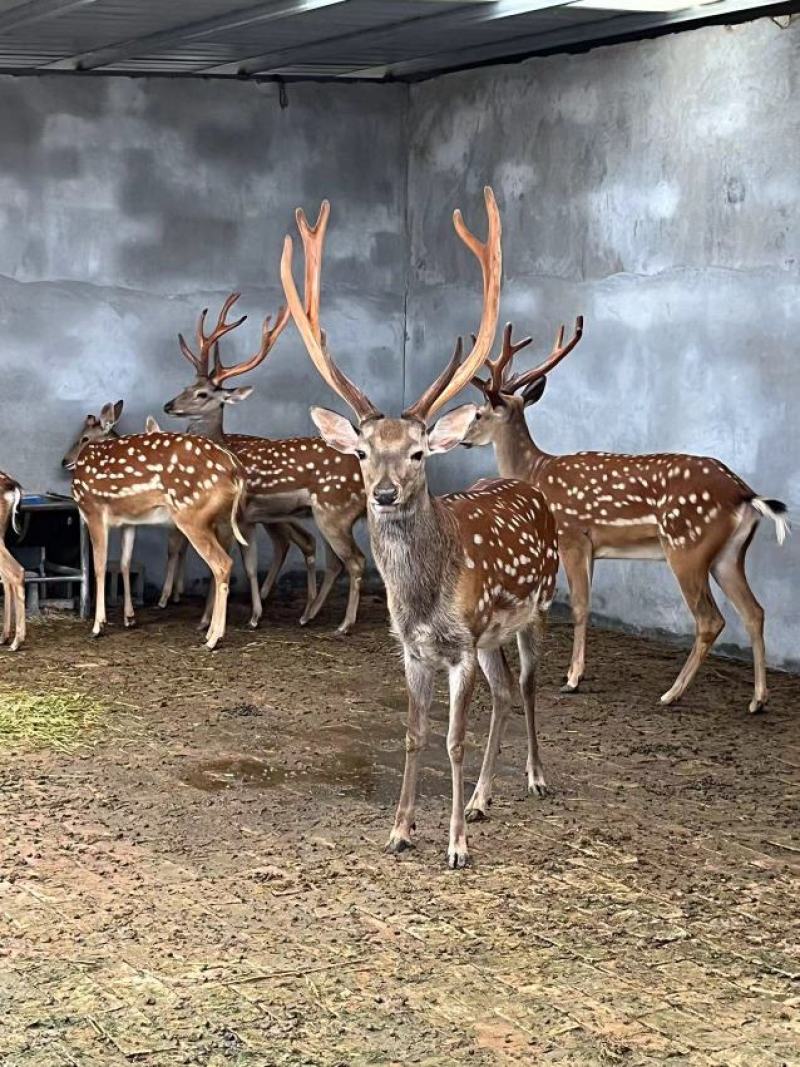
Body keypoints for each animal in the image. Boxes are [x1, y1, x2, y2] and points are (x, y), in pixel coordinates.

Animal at [62, 402, 247, 650]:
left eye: (83, 438)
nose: (64, 461)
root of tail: (235, 469)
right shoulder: (129, 521)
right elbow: (124, 563)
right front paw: (129, 618)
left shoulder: (93, 511)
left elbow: (98, 567)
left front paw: (98, 626)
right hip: (221, 521)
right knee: (221, 564)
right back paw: (210, 632)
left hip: (191, 515)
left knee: (222, 563)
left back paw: (213, 639)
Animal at [163, 290, 367, 635]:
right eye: (186, 386)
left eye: (203, 394)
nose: (168, 405)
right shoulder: (248, 518)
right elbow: (248, 564)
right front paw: (254, 615)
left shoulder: (235, 517)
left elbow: (230, 563)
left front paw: (208, 620)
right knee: (335, 561)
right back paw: (308, 614)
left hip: (333, 512)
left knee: (354, 560)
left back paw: (344, 624)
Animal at [281, 186, 560, 869]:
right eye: (361, 452)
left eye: (417, 452)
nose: (383, 494)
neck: (425, 596)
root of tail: (526, 486)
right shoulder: (412, 648)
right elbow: (414, 734)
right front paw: (402, 829)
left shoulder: (460, 647)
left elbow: (453, 741)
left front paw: (455, 845)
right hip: (491, 638)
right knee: (505, 694)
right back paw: (484, 799)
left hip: (537, 610)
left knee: (529, 688)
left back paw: (535, 778)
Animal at [462, 321, 790, 714]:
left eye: (478, 414)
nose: (463, 439)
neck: (536, 473)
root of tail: (746, 494)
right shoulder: (592, 547)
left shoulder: (571, 535)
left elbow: (579, 606)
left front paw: (572, 679)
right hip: (729, 555)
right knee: (755, 612)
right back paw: (757, 700)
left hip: (687, 546)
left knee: (711, 619)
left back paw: (671, 693)